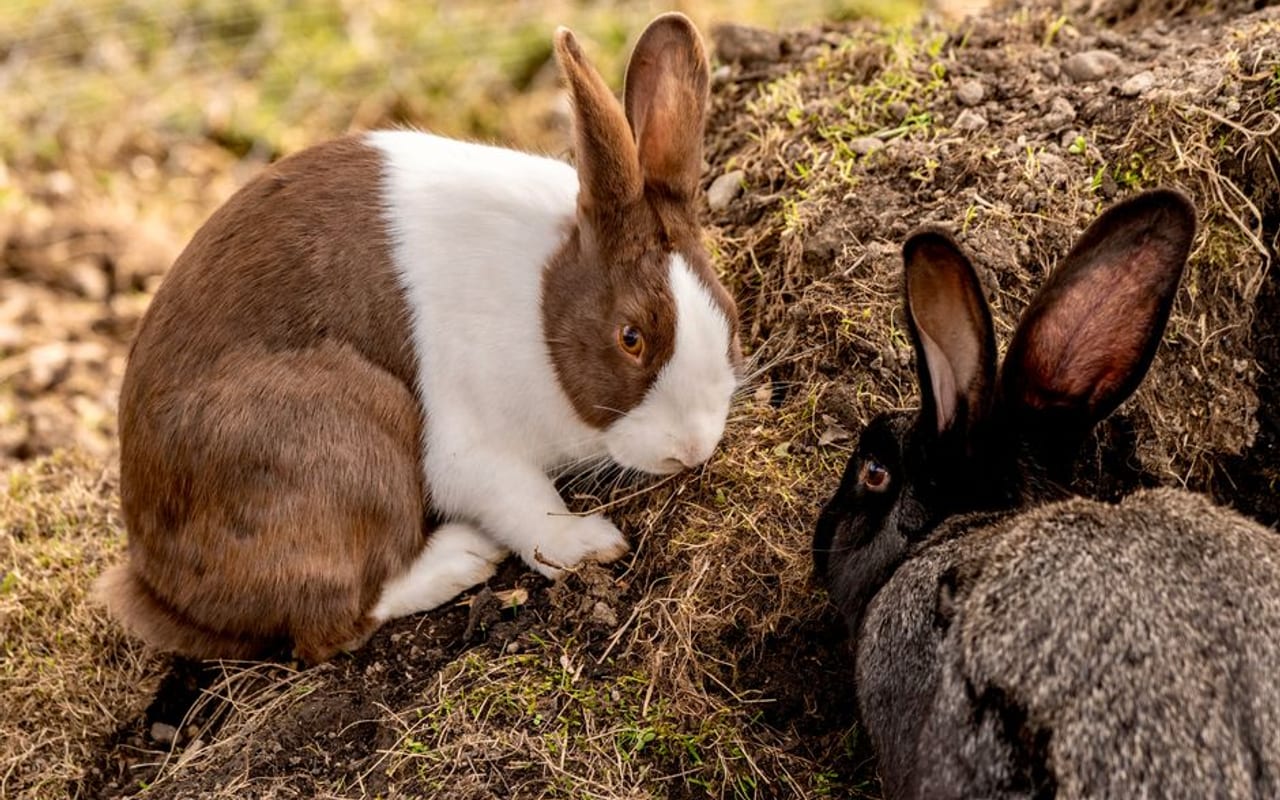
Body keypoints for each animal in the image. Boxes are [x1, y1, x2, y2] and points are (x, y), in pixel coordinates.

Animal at [96, 13, 742, 665]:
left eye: (729, 312)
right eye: (631, 337)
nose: (691, 449)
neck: (542, 300)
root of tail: (159, 586)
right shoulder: (471, 446)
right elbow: (524, 503)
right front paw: (588, 543)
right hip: (344, 431)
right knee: (331, 623)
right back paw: (463, 558)